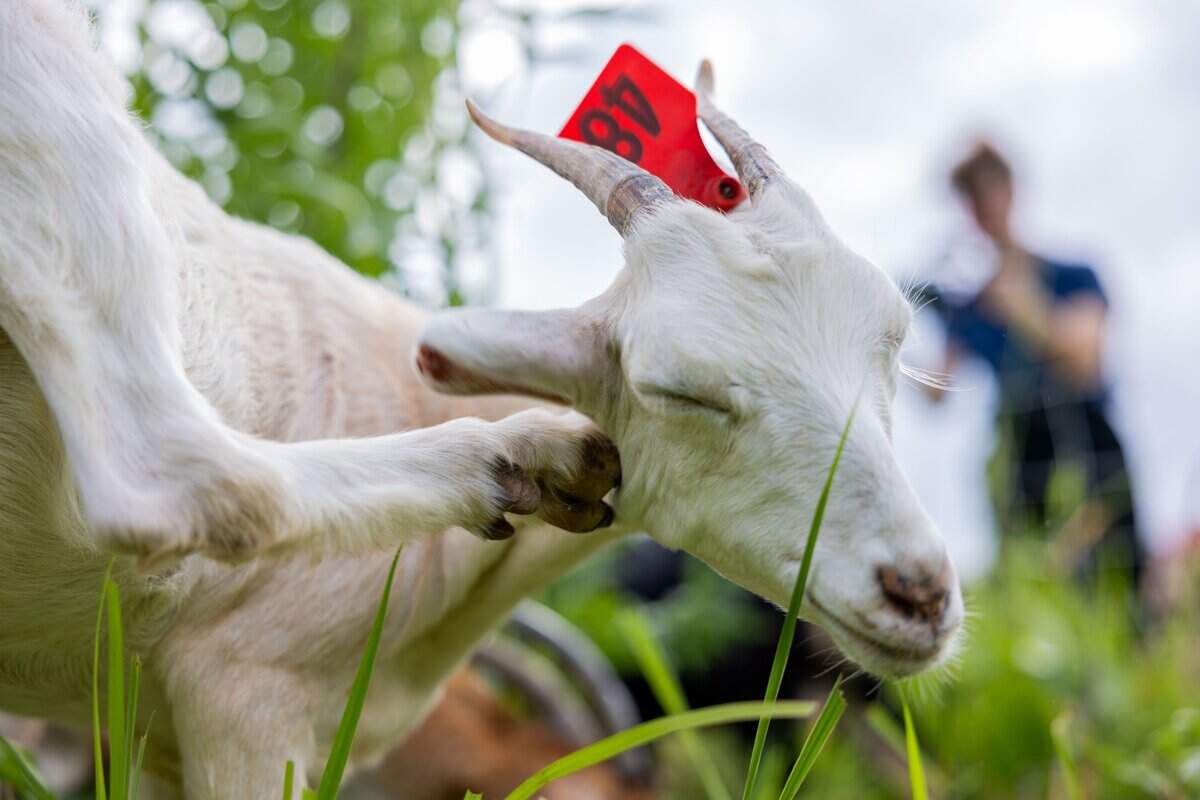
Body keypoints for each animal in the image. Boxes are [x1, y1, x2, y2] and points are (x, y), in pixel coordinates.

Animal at [0, 1, 963, 797]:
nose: (919, 592)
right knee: (172, 476)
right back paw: (520, 455)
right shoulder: (245, 702)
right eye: (676, 388)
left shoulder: (152, 742)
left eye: (895, 343)